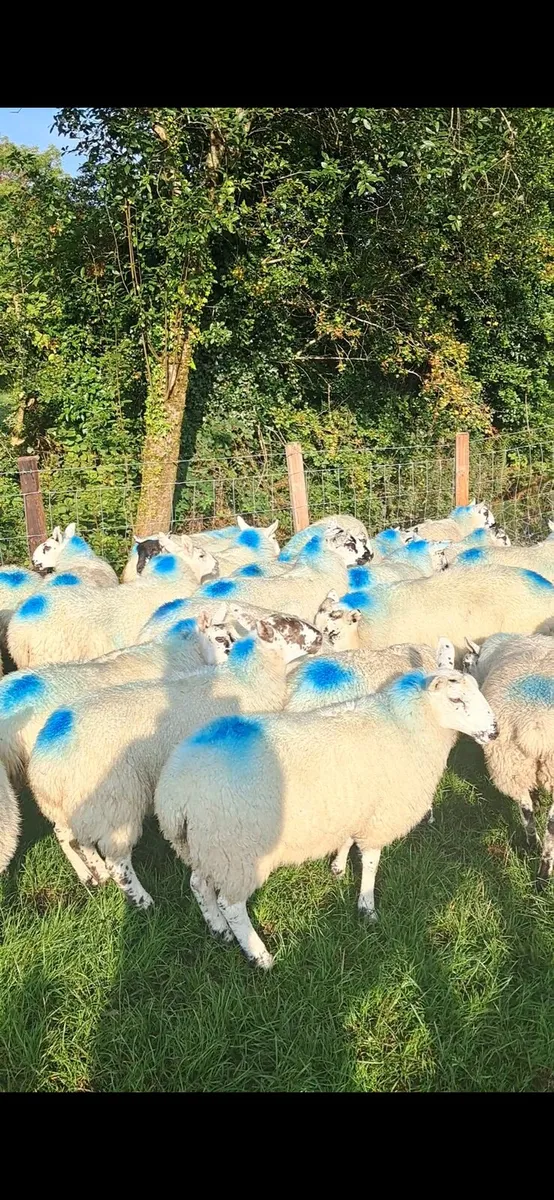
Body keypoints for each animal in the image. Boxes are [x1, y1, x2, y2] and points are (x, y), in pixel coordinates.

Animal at [26, 618, 320, 906]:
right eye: (289, 628)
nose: (319, 637)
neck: (245, 681)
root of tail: (46, 760)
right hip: (115, 800)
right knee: (116, 859)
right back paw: (141, 900)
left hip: (76, 808)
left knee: (71, 838)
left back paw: (92, 875)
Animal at [154, 660, 497, 968]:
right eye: (456, 700)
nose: (494, 732)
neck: (408, 724)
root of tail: (175, 794)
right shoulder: (379, 817)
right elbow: (371, 864)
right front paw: (367, 908)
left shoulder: (352, 808)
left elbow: (346, 840)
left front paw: (338, 867)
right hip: (237, 851)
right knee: (232, 905)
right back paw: (259, 956)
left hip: (206, 848)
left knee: (199, 885)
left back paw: (218, 930)